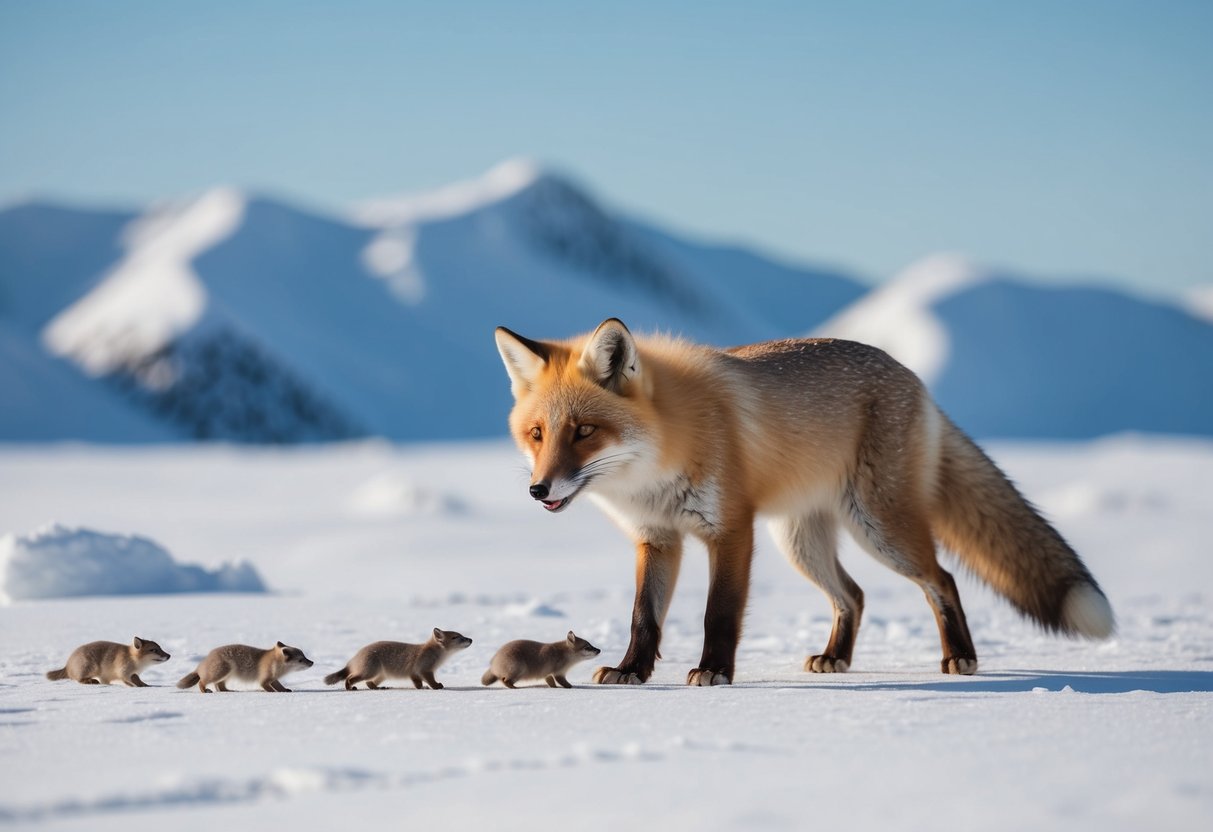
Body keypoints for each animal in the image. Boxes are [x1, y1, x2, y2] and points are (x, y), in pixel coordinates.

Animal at [494, 318, 1115, 686]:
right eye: (537, 435)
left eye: (584, 431)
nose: (538, 490)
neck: (664, 451)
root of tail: (914, 378)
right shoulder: (658, 538)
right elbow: (643, 616)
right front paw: (632, 671)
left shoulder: (731, 530)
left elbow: (718, 612)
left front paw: (713, 671)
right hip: (801, 541)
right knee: (855, 596)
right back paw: (835, 657)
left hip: (879, 528)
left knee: (942, 579)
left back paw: (959, 657)